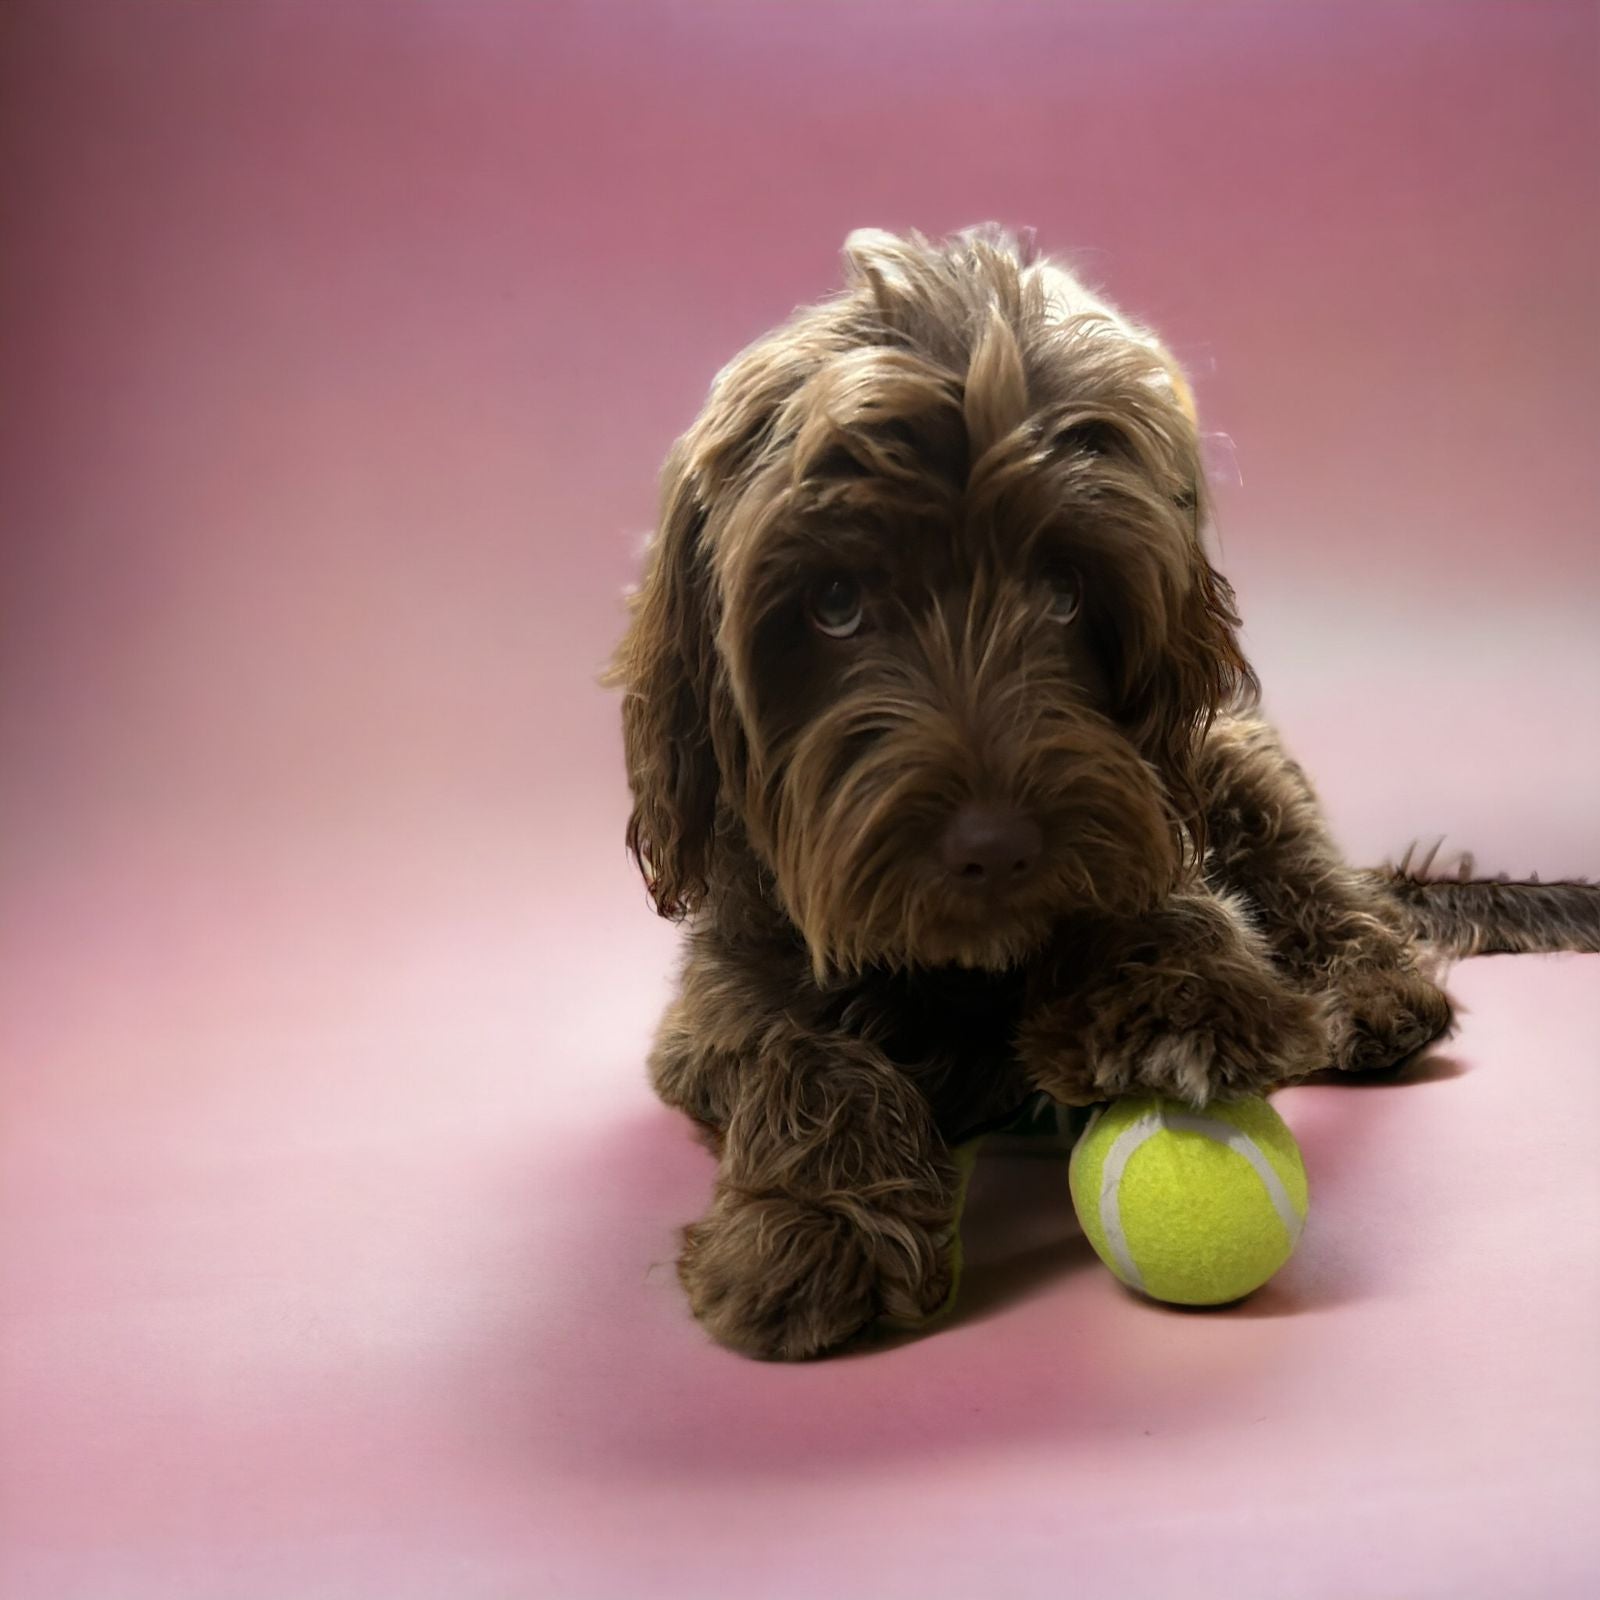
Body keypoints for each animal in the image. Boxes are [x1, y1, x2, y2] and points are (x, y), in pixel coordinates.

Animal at [604, 225, 1593, 1356]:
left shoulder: (1145, 814)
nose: (994, 846)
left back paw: (1375, 987)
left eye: (1066, 591)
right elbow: (788, 1045)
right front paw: (817, 1218)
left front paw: (1175, 996)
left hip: (1237, 765)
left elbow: (1171, 901)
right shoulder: (715, 996)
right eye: (836, 603)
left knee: (1323, 885)